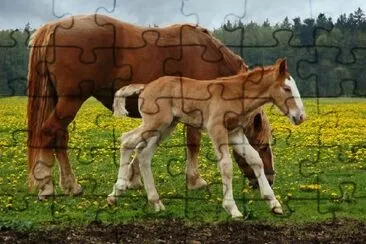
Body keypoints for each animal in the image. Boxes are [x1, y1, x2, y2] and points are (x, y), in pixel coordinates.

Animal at [27, 14, 274, 199]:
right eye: (262, 146)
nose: (269, 179)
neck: (208, 55)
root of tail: (54, 26)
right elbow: (193, 144)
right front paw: (195, 180)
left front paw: (132, 177)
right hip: (71, 100)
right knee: (50, 132)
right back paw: (46, 184)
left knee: (60, 136)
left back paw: (70, 185)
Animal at [107, 58, 304, 217]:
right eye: (286, 88)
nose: (301, 117)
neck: (235, 94)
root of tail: (146, 86)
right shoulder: (216, 129)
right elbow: (226, 166)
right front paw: (232, 209)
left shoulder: (235, 132)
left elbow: (255, 160)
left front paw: (274, 204)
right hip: (154, 123)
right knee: (127, 140)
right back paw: (116, 193)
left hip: (165, 127)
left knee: (143, 153)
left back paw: (155, 202)